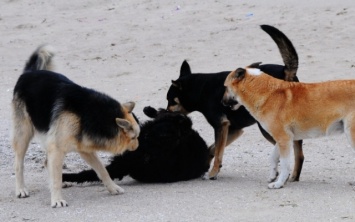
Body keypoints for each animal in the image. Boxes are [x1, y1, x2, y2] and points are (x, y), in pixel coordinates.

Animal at [11, 44, 139, 207]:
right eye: (134, 137)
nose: (137, 147)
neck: (91, 115)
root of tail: (29, 73)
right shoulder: (57, 149)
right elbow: (56, 179)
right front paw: (57, 199)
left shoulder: (84, 149)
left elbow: (102, 169)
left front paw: (113, 187)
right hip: (23, 135)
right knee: (19, 164)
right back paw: (21, 189)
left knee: (47, 163)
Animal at [165, 24, 304, 181]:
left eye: (170, 100)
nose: (165, 112)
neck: (201, 89)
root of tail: (285, 70)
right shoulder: (233, 129)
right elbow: (213, 149)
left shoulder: (221, 126)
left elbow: (218, 153)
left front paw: (212, 172)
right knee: (299, 152)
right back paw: (294, 176)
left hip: (266, 127)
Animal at [222, 66, 355, 189]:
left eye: (225, 87)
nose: (221, 103)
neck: (267, 92)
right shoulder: (283, 139)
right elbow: (273, 157)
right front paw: (273, 175)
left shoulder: (283, 139)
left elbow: (285, 164)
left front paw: (279, 183)